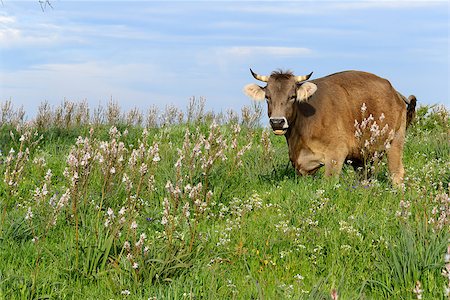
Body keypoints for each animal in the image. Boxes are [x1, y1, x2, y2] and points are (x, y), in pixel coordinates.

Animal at [244, 69, 416, 185]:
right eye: (267, 97)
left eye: (292, 96)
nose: (277, 122)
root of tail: (394, 91)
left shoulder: (336, 154)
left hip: (395, 142)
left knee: (396, 173)